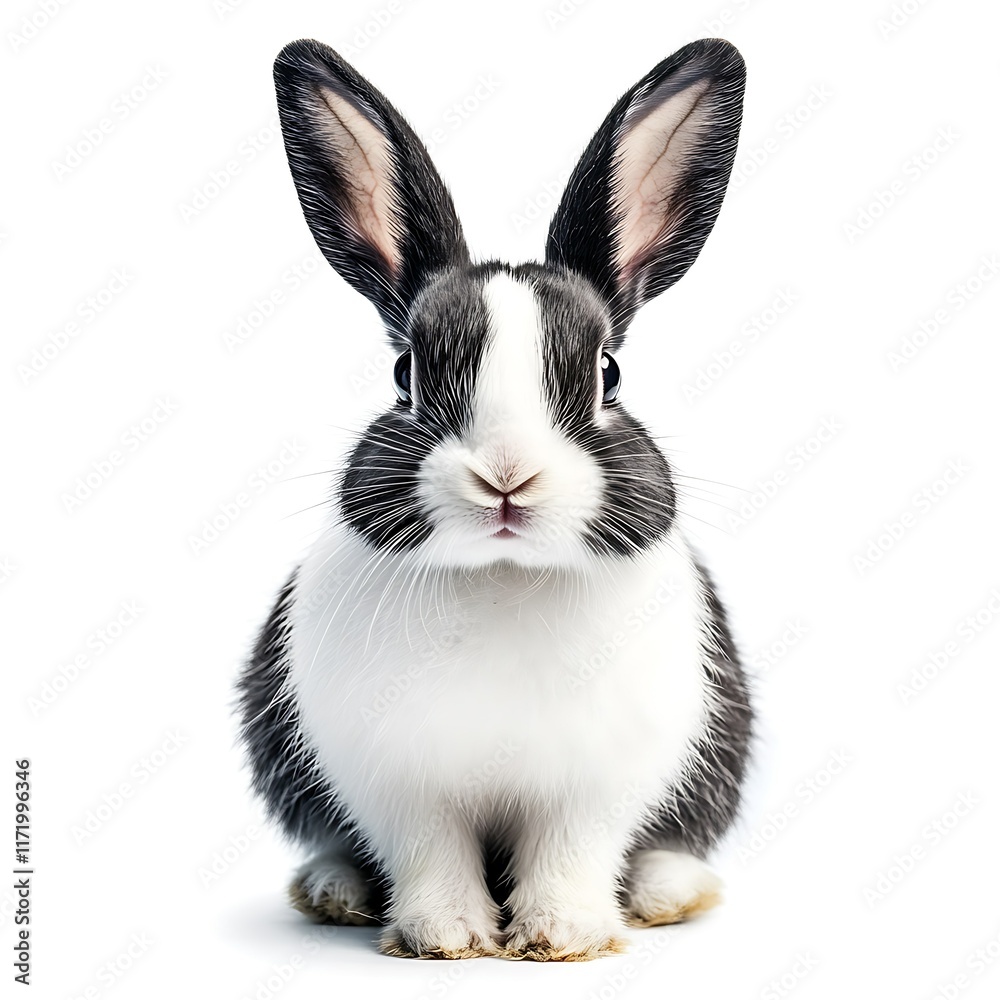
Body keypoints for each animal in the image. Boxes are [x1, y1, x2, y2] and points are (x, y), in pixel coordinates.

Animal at [237, 37, 752, 962]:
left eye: (607, 375)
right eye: (405, 374)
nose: (507, 476)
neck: (503, 578)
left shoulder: (598, 784)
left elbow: (575, 851)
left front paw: (562, 937)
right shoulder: (399, 783)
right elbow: (428, 851)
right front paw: (445, 937)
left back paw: (667, 892)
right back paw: (334, 891)